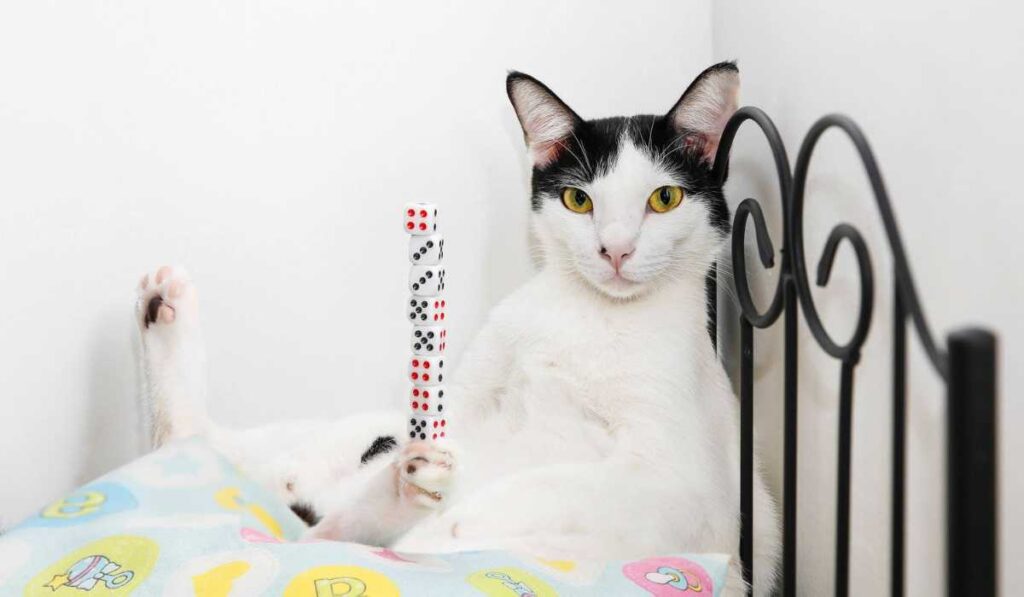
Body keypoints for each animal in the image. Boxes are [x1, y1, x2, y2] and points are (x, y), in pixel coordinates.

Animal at [134, 62, 774, 593]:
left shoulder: (684, 491)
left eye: (664, 198)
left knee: (304, 522)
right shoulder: (460, 401)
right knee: (202, 443)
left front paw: (447, 522)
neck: (590, 314)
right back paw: (165, 312)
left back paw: (396, 504)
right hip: (343, 433)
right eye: (578, 200)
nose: (615, 250)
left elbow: (551, 489)